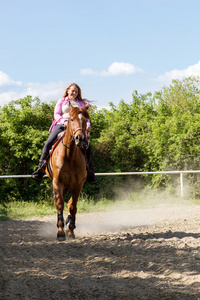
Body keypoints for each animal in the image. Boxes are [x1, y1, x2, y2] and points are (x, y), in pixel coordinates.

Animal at [46, 102, 90, 239]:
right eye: (71, 119)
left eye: (85, 120)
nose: (79, 138)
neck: (69, 156)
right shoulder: (57, 182)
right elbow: (60, 204)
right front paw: (60, 232)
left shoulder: (78, 184)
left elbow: (72, 206)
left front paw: (70, 231)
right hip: (63, 185)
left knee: (70, 202)